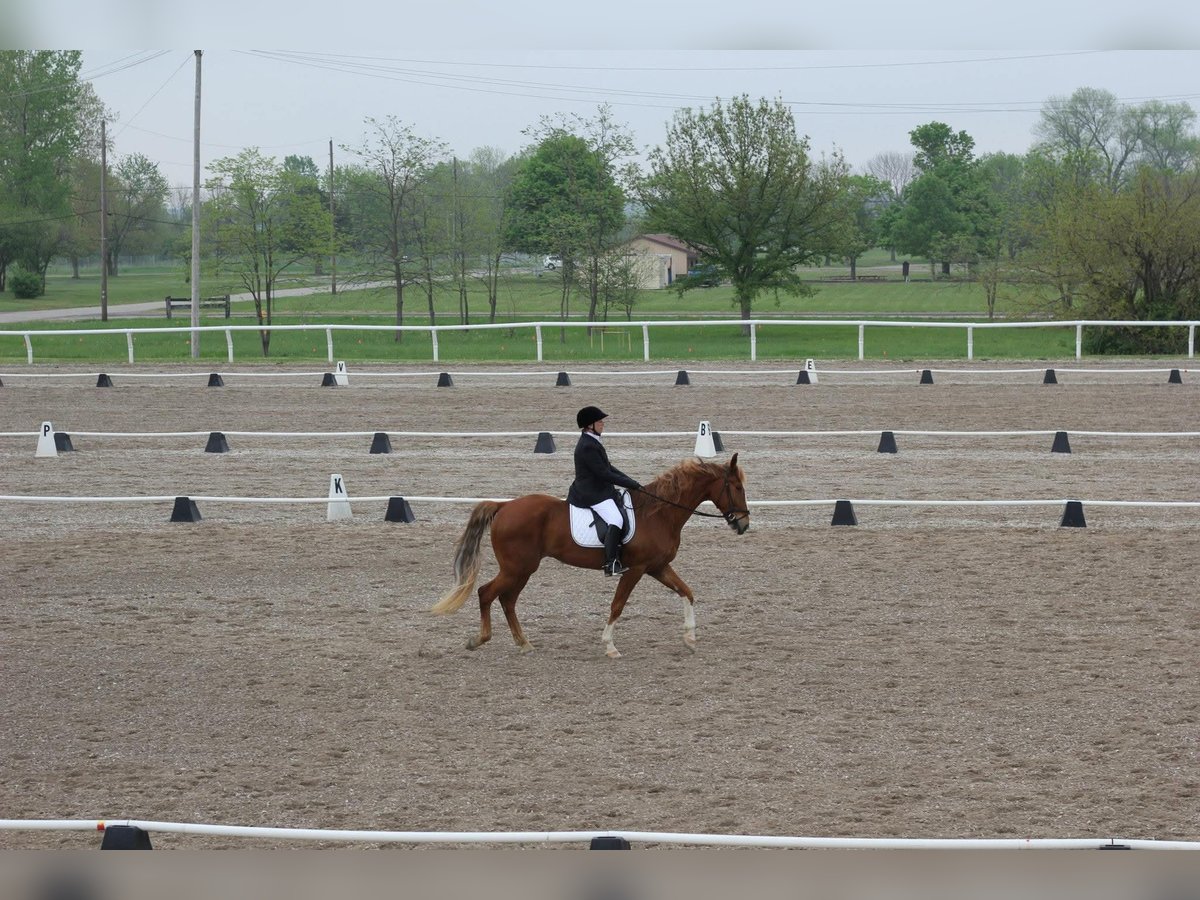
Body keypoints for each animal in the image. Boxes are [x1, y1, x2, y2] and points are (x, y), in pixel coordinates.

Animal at [432, 453, 748, 657]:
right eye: (736, 487)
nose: (743, 524)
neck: (658, 514)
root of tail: (504, 505)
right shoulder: (636, 569)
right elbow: (617, 605)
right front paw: (609, 646)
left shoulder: (657, 567)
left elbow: (687, 592)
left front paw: (690, 638)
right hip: (517, 568)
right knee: (487, 593)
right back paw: (479, 639)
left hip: (522, 570)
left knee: (507, 600)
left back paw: (523, 643)